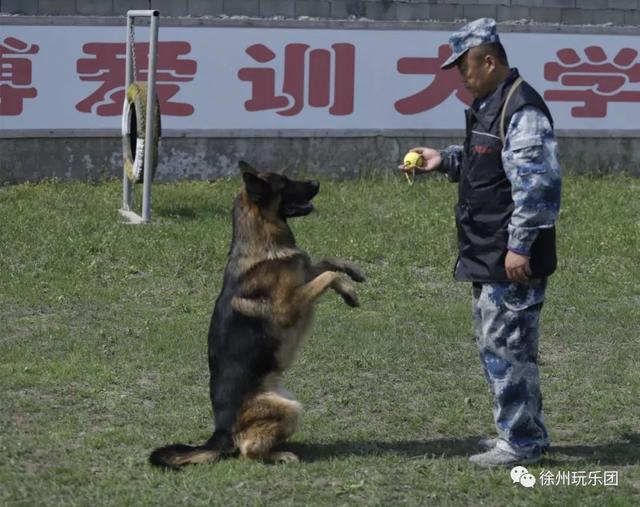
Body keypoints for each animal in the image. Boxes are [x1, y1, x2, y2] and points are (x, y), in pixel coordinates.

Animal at [147, 162, 362, 468]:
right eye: (284, 183)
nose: (317, 182)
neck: (262, 236)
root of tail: (220, 432)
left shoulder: (302, 275)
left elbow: (325, 262)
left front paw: (353, 272)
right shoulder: (288, 305)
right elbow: (328, 275)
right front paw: (349, 290)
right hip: (289, 409)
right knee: (247, 450)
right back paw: (281, 454)